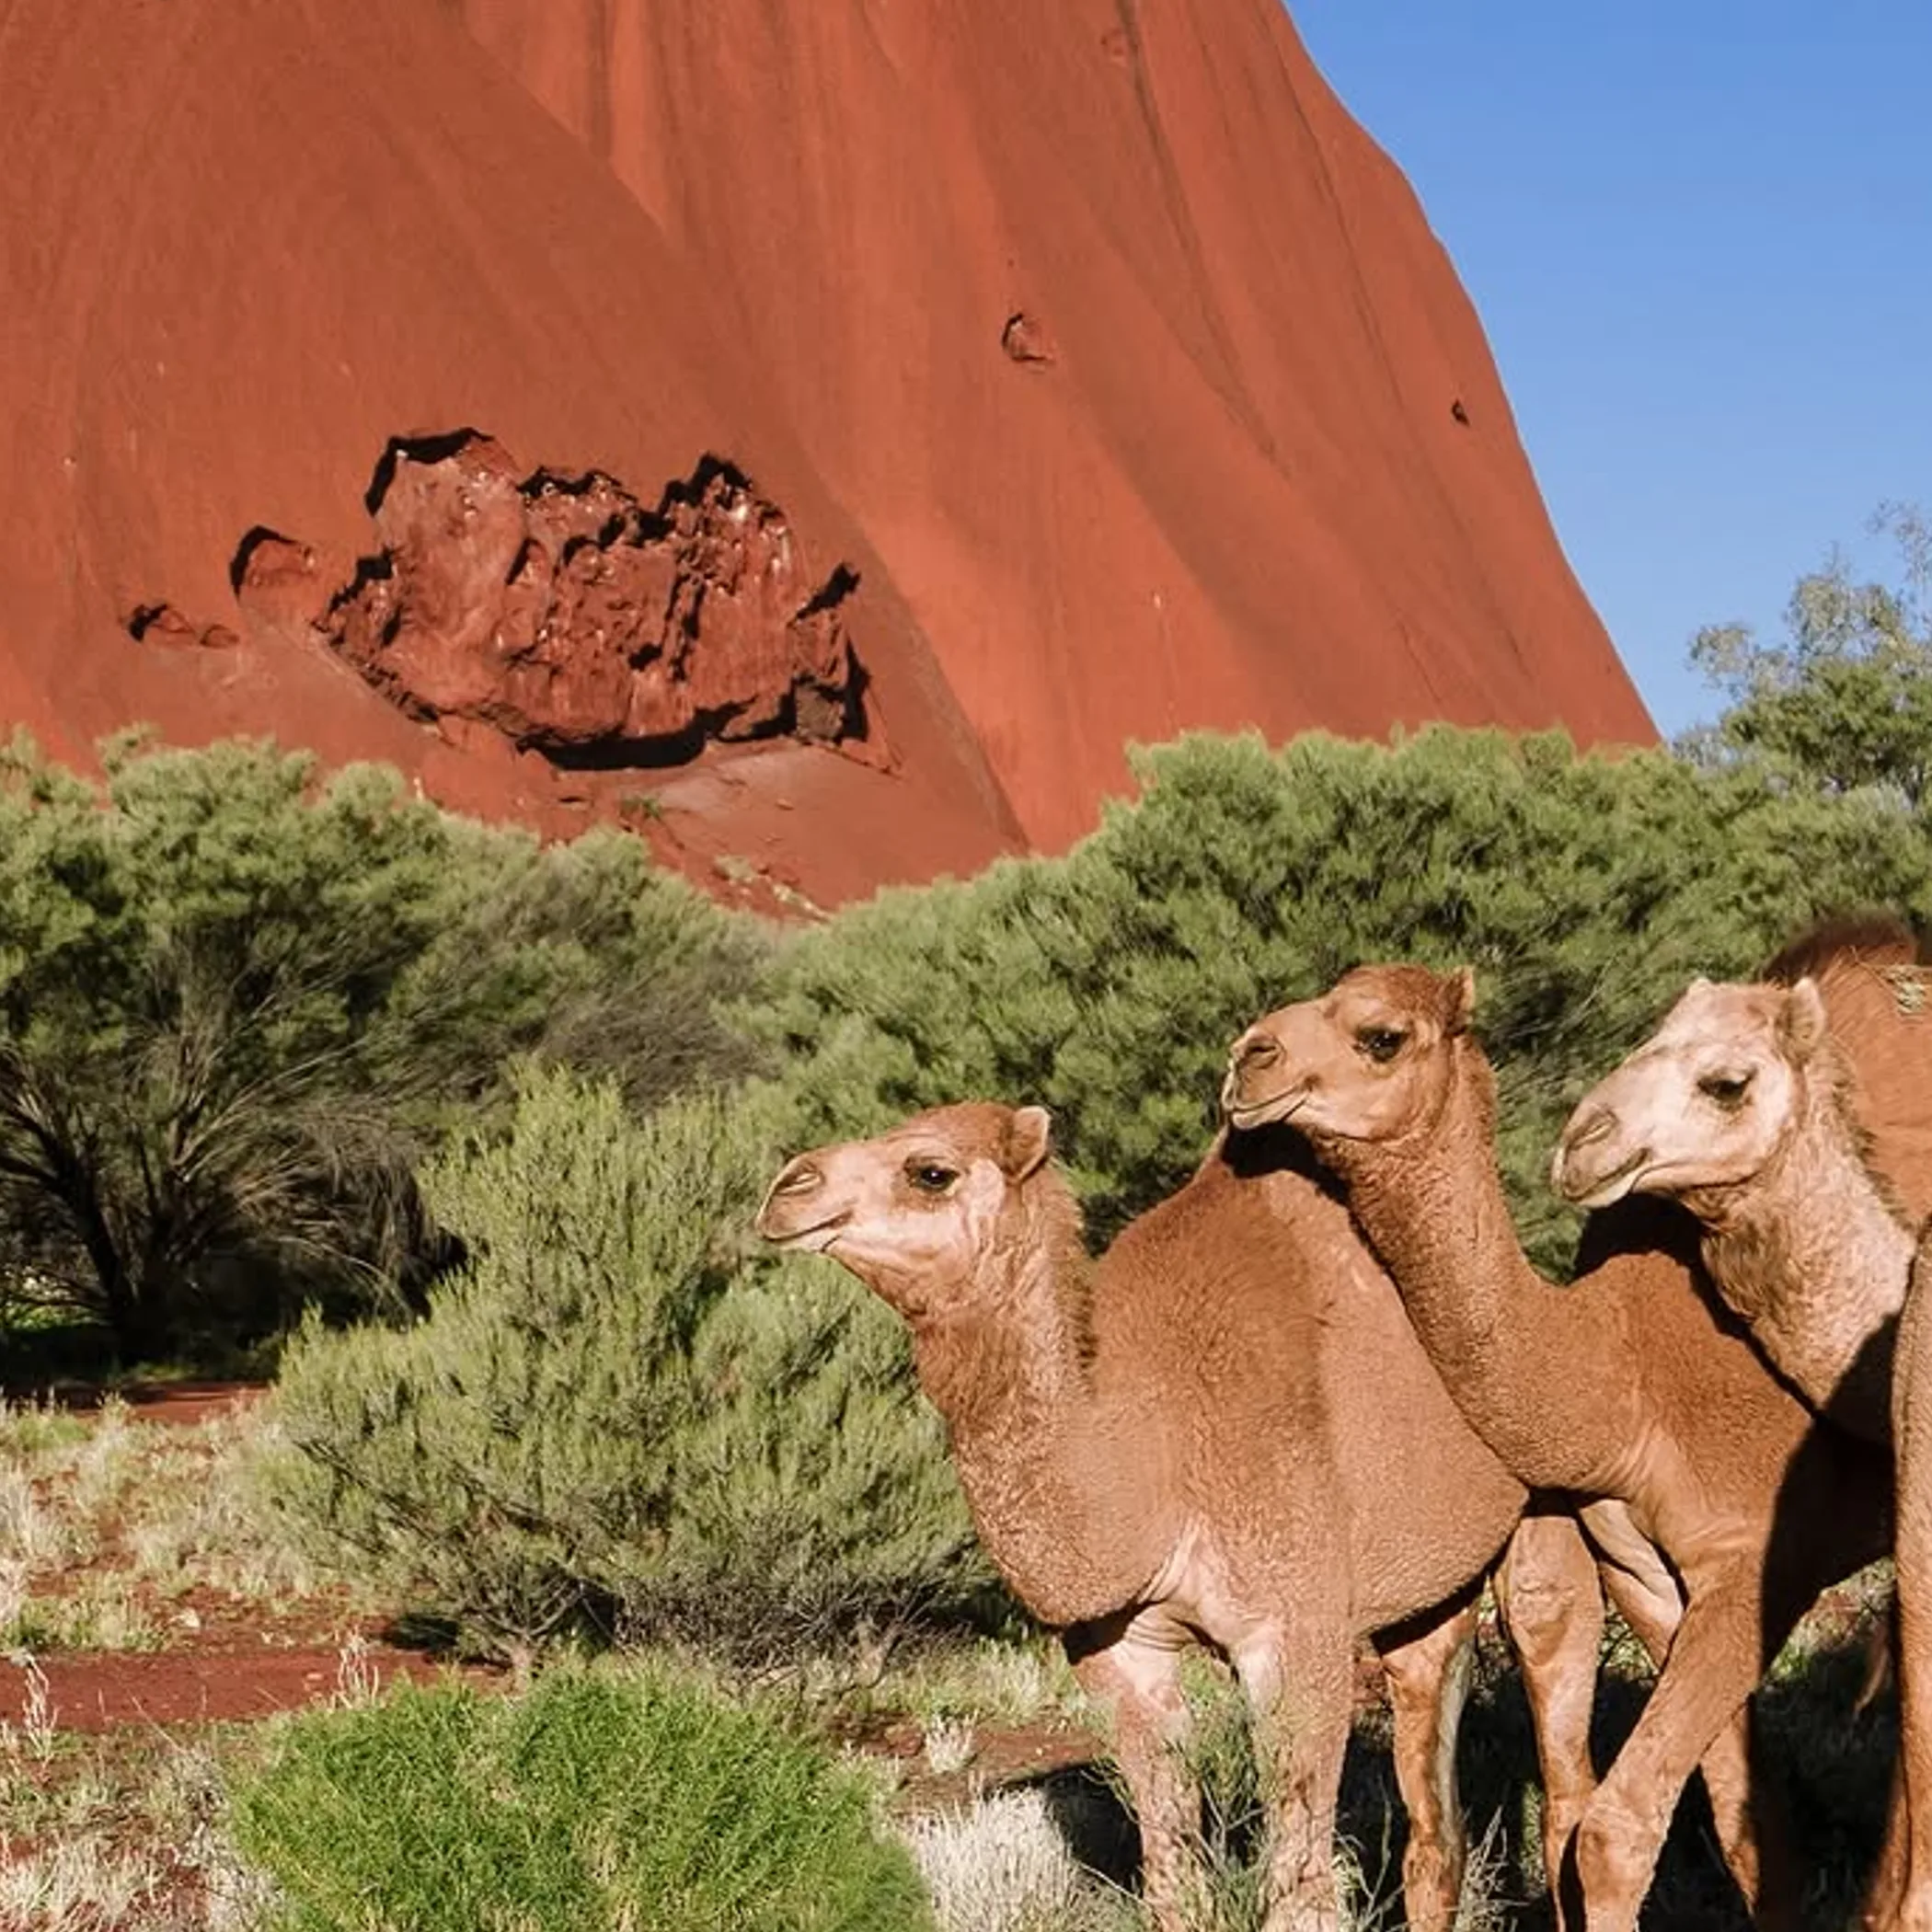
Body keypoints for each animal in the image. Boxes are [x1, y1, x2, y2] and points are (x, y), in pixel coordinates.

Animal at [758, 1101, 1609, 1932]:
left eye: (930, 1171)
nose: (787, 1188)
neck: (1153, 1465)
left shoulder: (1293, 1635)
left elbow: (1298, 1892)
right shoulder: (1117, 1656)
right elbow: (1172, 1876)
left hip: (1550, 1521)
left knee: (1563, 1754)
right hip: (1430, 1592)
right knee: (1434, 1807)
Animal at [1224, 966, 1894, 1931]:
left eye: (1381, 1036)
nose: (1250, 1057)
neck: (1617, 1380)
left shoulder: (1756, 1557)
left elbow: (1623, 1829)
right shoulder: (1647, 1574)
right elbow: (1745, 1824)